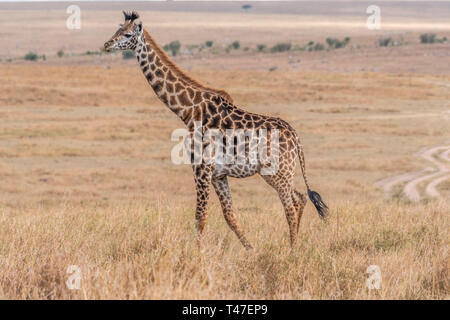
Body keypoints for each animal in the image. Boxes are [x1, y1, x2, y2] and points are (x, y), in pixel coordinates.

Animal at [103, 11, 326, 249]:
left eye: (127, 34)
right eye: (117, 29)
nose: (106, 44)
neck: (188, 110)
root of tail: (296, 137)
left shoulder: (201, 169)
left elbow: (200, 218)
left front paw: (195, 255)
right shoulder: (218, 175)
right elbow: (230, 216)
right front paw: (251, 250)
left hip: (277, 172)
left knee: (290, 207)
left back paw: (291, 250)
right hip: (284, 172)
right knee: (300, 198)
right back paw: (294, 247)